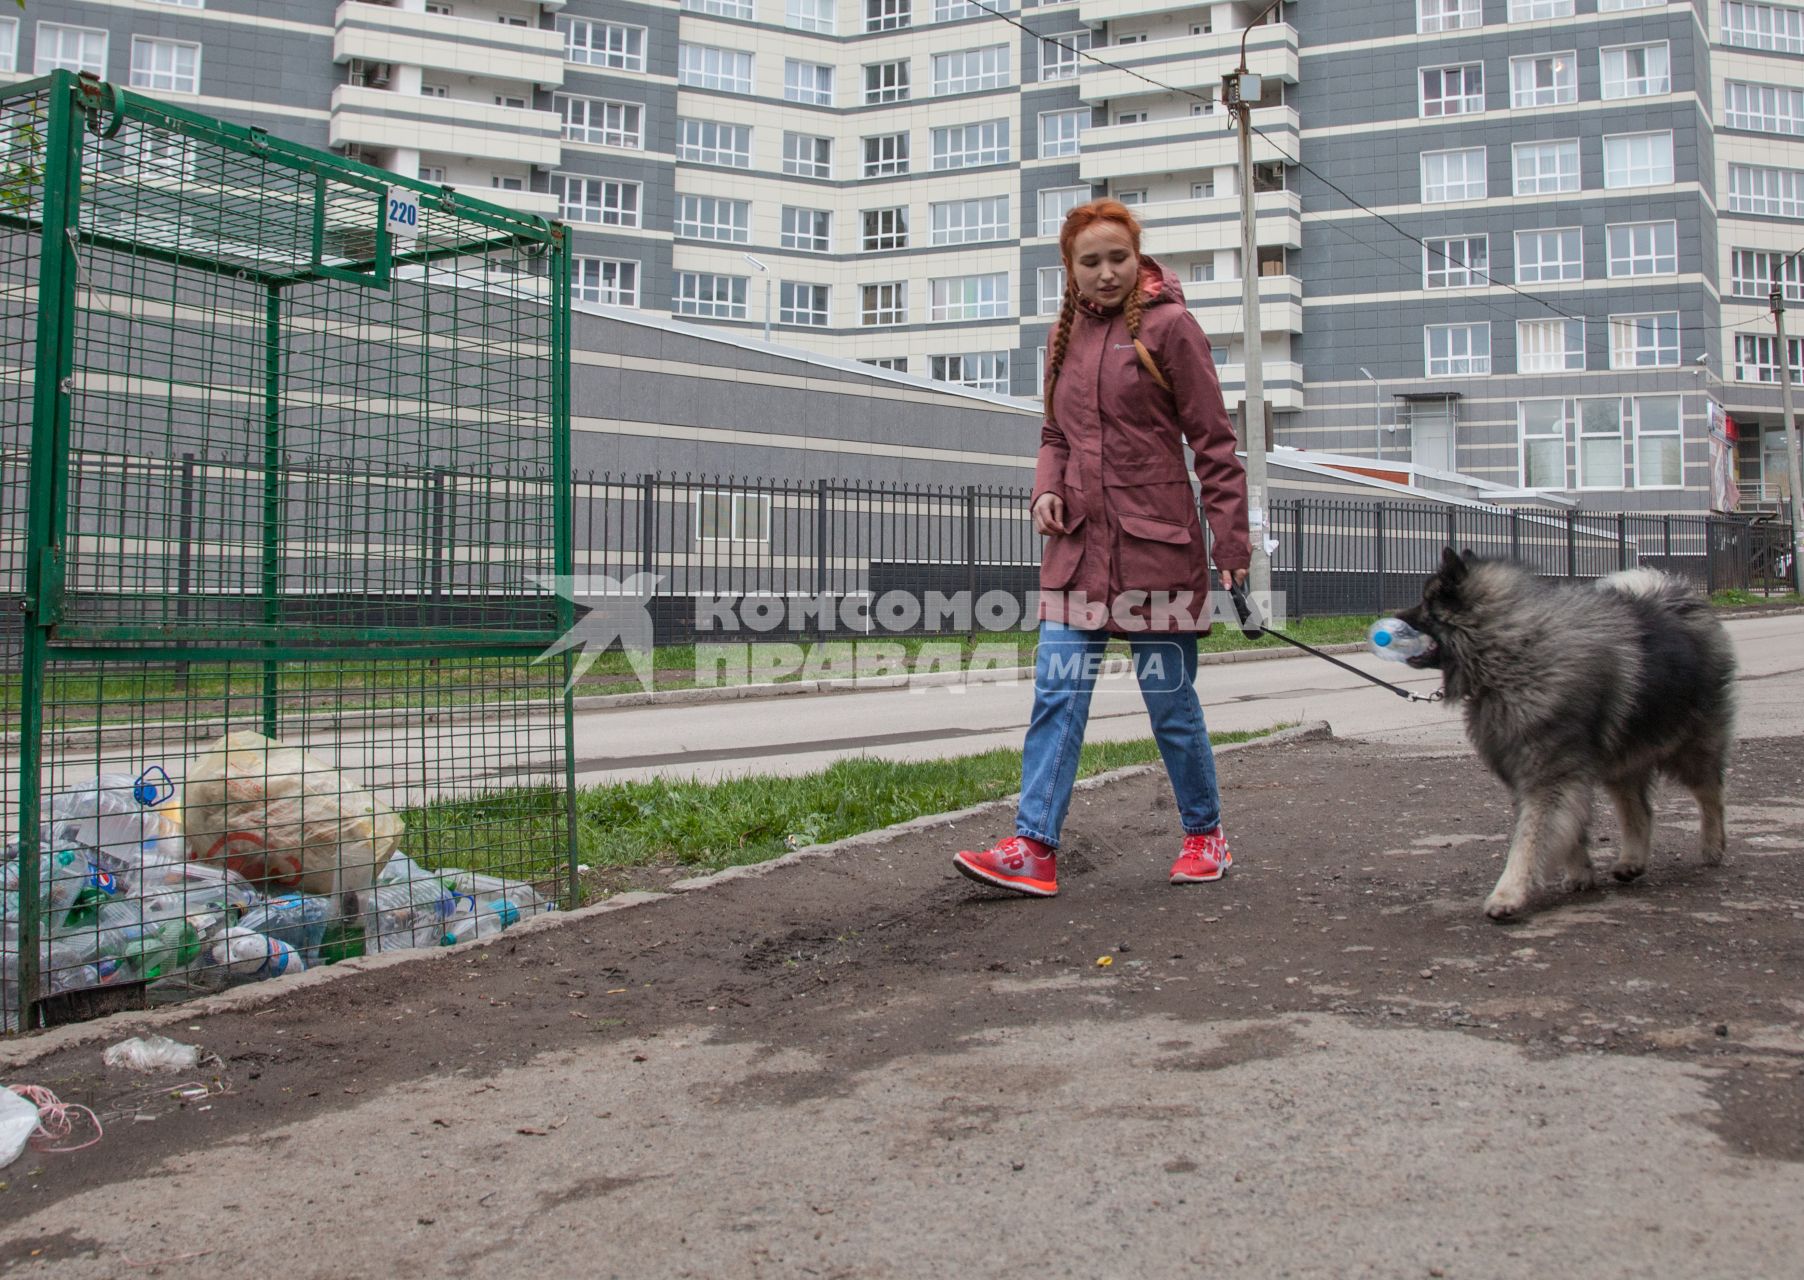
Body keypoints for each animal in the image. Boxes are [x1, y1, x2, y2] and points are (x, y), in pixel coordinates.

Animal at [1392, 551, 1731, 923]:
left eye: (1427, 603)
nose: (1394, 616)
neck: (1513, 653)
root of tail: (1677, 600)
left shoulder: (1550, 779)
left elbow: (1530, 839)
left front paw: (1507, 894)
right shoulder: (1547, 776)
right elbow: (1570, 833)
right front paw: (1580, 874)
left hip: (1689, 746)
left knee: (1710, 794)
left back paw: (1712, 847)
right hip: (1623, 759)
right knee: (1639, 811)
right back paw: (1631, 863)